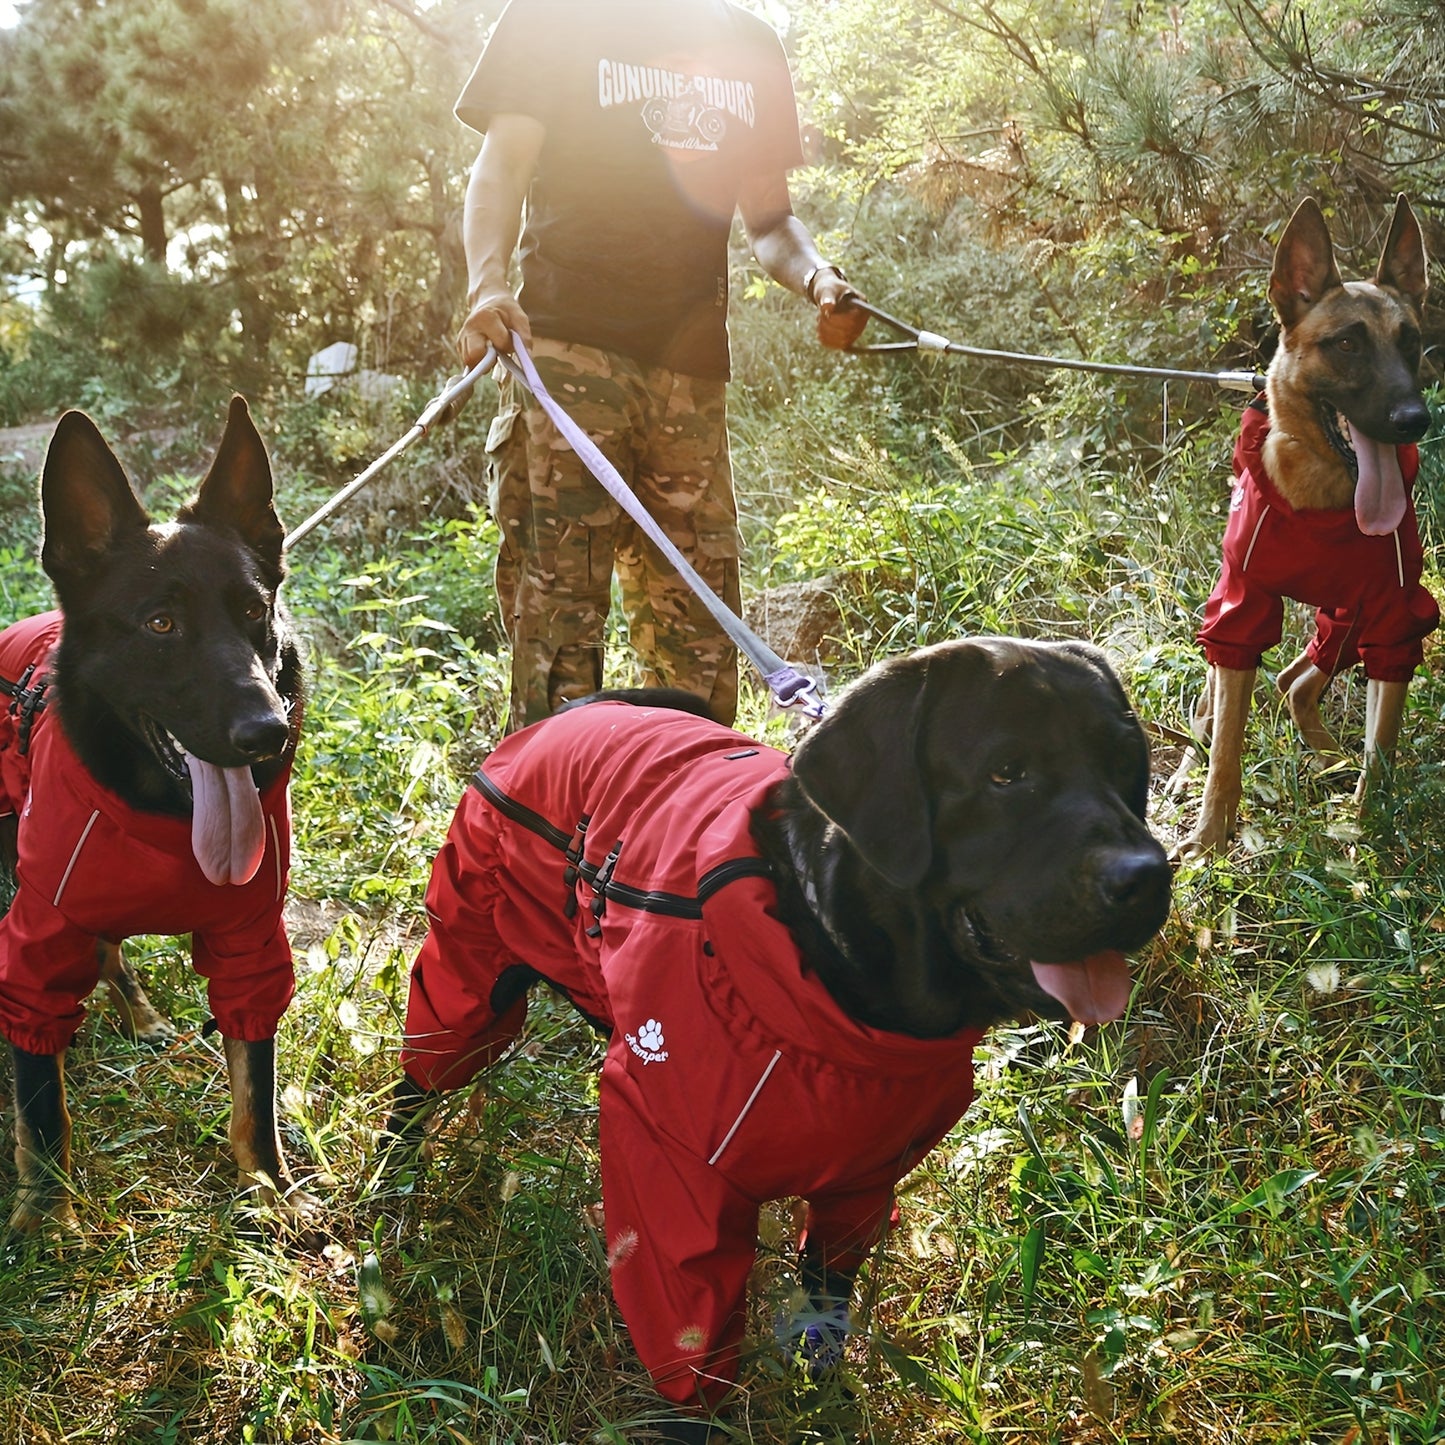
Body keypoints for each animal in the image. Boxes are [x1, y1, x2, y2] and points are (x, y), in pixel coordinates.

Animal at [1, 401, 312, 1236]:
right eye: (161, 623)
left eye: (255, 610)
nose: (268, 732)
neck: (167, 825)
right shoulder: (39, 937)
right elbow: (40, 1097)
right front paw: (46, 1215)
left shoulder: (251, 944)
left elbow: (254, 1085)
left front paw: (266, 1187)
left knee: (111, 947)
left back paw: (139, 1015)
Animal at [1173, 200, 1433, 855]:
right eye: (1346, 345)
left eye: (1413, 342)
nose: (1415, 420)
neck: (1323, 503)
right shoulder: (1239, 613)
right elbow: (1226, 748)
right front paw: (1210, 838)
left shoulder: (1392, 619)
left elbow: (1382, 744)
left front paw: (1368, 829)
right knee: (1234, 700)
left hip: (1346, 620)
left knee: (1295, 680)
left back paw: (1330, 757)